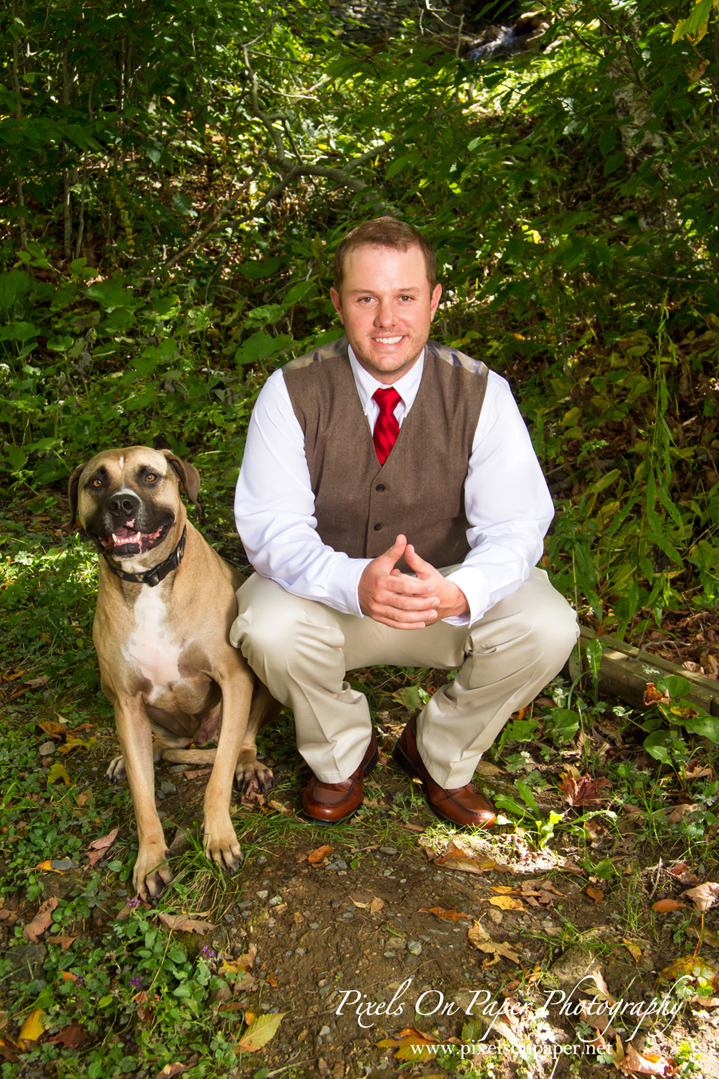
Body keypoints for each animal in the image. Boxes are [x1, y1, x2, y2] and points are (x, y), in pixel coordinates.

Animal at [68, 446, 276, 902]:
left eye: (149, 476)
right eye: (97, 481)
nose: (121, 504)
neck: (147, 581)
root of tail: (200, 736)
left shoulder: (234, 679)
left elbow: (217, 779)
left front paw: (219, 839)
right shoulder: (125, 701)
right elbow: (143, 797)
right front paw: (150, 860)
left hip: (258, 683)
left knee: (242, 742)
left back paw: (248, 764)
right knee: (165, 744)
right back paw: (140, 754)